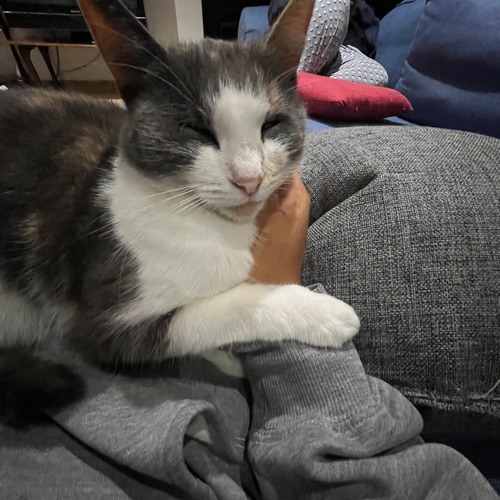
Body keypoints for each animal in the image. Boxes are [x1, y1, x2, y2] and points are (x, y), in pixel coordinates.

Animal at [0, 0, 360, 425]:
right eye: (196, 129)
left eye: (271, 124)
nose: (249, 179)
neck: (213, 226)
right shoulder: (106, 321)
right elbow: (222, 309)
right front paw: (322, 312)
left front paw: (228, 359)